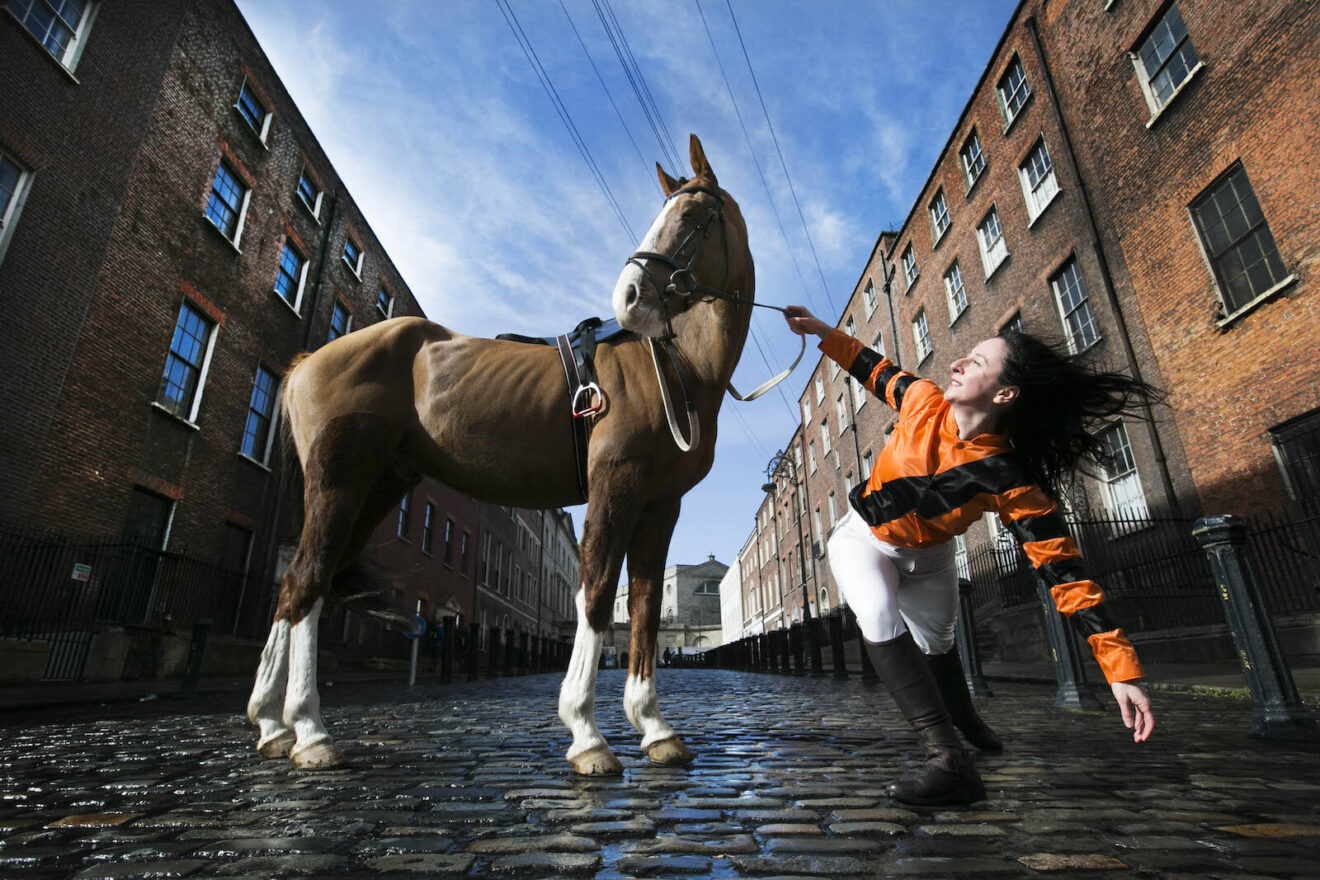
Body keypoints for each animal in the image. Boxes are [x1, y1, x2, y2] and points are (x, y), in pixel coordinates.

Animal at [246, 134, 755, 775]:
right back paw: (309, 730)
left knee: (297, 586)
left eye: (690, 216)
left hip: (376, 487)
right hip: (338, 482)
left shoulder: (659, 505)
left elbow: (642, 605)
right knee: (306, 583)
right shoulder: (615, 487)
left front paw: (654, 727)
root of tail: (307, 362)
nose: (630, 296)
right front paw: (586, 732)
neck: (676, 368)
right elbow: (596, 593)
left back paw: (273, 724)